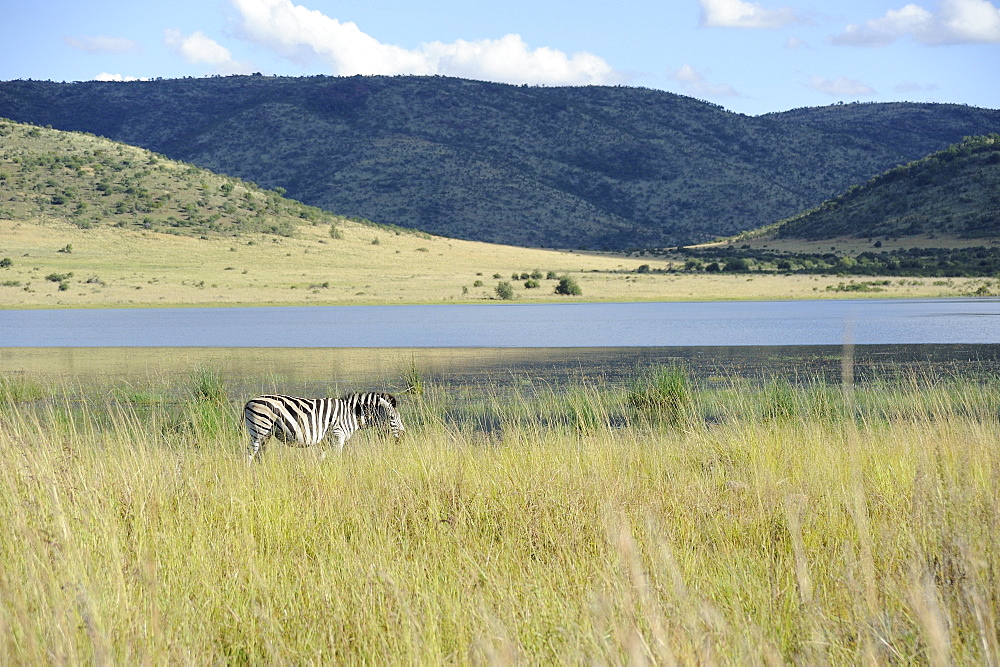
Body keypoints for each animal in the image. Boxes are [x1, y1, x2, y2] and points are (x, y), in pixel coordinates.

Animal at [244, 392, 404, 464]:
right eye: (392, 418)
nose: (403, 437)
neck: (351, 414)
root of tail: (249, 401)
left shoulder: (328, 439)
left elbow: (322, 458)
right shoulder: (338, 435)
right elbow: (337, 458)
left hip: (266, 435)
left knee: (258, 455)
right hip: (259, 431)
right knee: (249, 455)